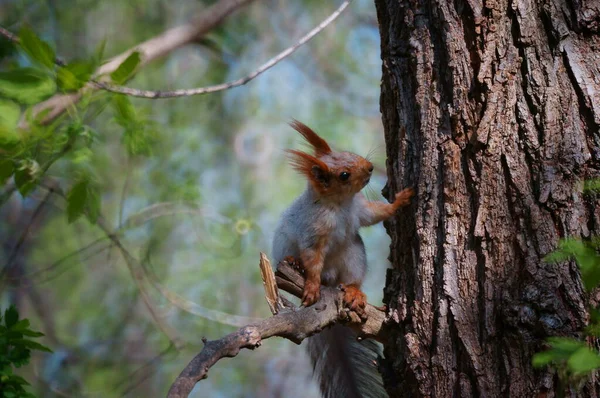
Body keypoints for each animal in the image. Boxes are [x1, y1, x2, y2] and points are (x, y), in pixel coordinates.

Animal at [272, 119, 412, 398]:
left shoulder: (360, 210)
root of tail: (332, 281)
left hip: (354, 254)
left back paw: (354, 291)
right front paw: (311, 285)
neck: (340, 206)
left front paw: (401, 199)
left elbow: (378, 213)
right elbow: (312, 258)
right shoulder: (312, 232)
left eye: (347, 152)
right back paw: (296, 265)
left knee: (352, 277)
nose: (370, 167)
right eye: (344, 175)